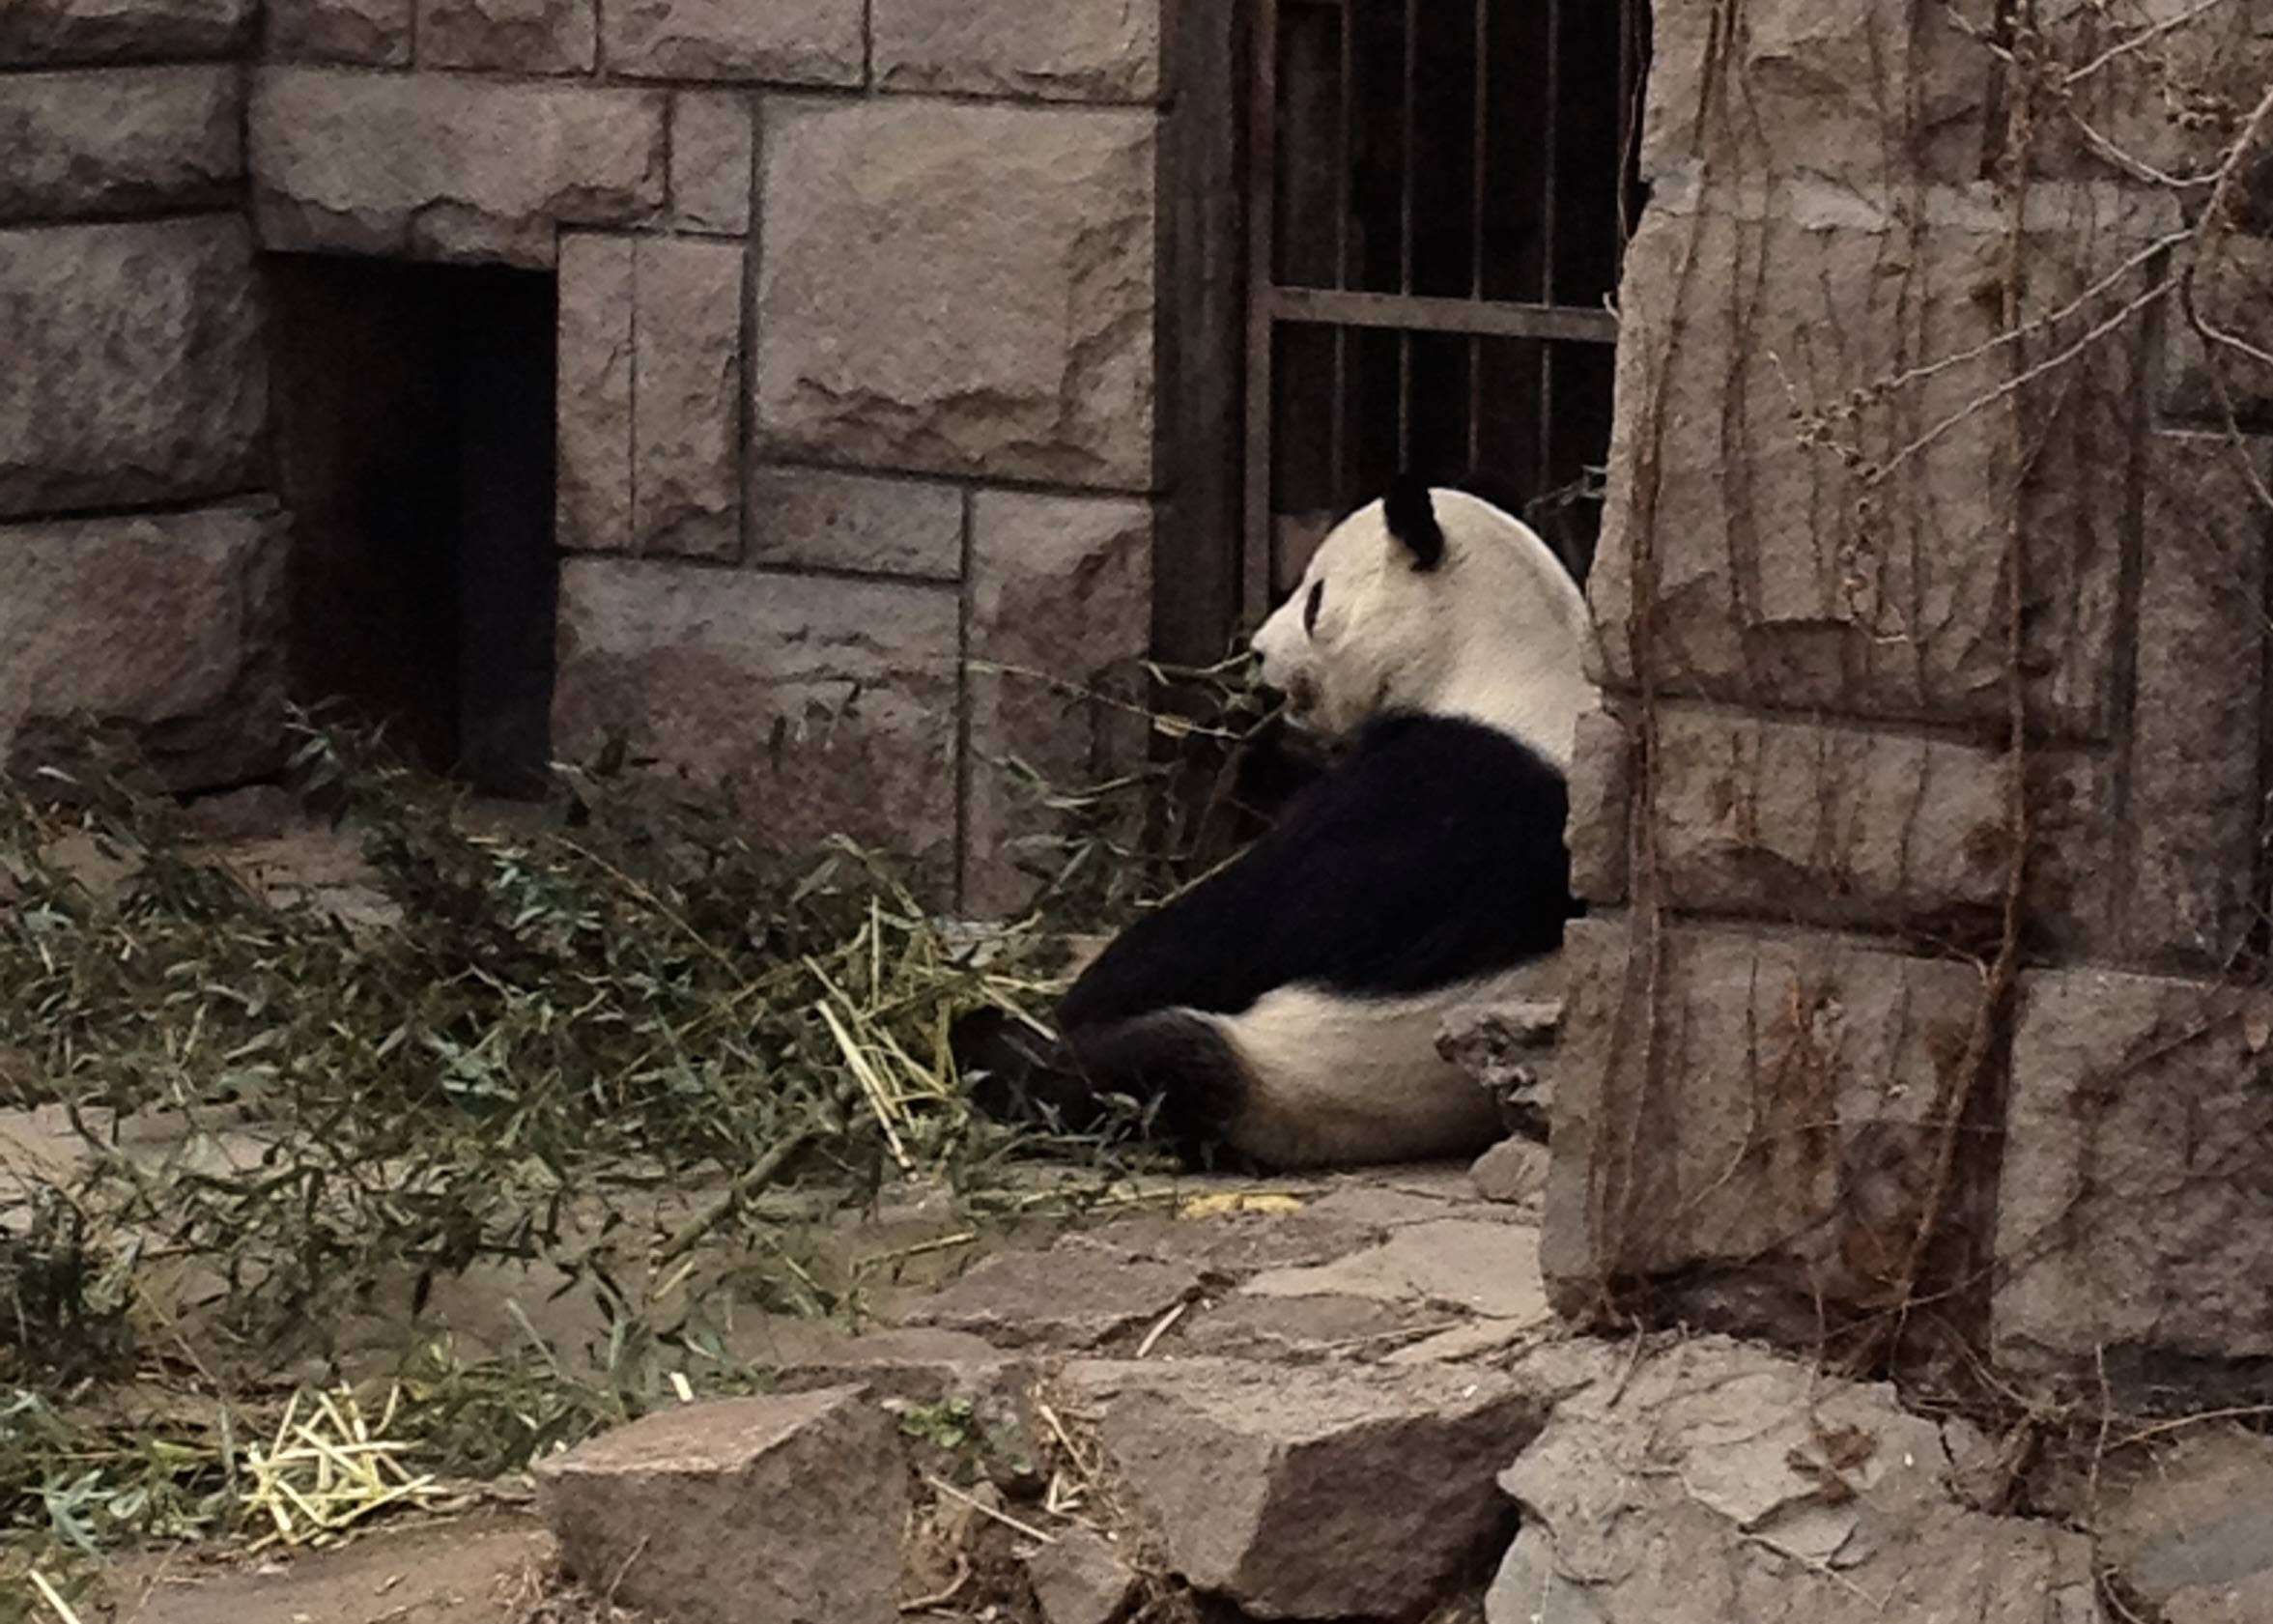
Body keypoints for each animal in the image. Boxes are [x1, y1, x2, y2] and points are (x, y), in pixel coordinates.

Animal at [958, 473, 1598, 1171]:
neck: (1503, 661)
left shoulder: (1438, 788)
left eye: (1314, 599)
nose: (1260, 651)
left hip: (1266, 1067)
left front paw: (1067, 996)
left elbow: (1244, 922)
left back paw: (990, 1043)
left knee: (1133, 1066)